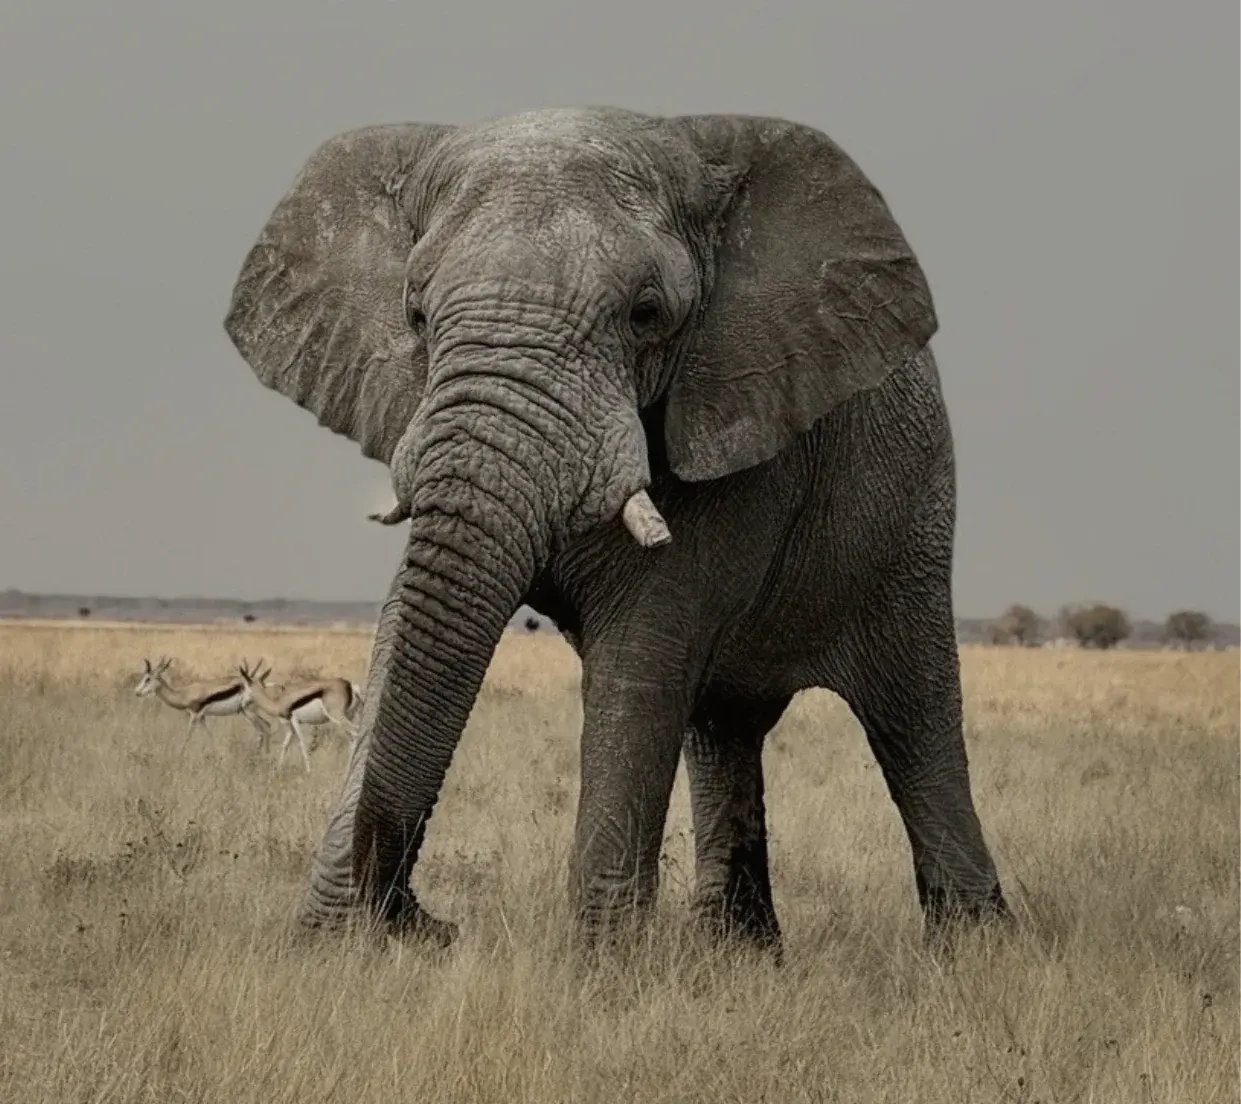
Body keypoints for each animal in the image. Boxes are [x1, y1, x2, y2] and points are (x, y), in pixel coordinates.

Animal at [222, 105, 1011, 955]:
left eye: (645, 314)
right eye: (416, 316)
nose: (424, 917)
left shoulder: (735, 430)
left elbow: (638, 655)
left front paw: (602, 968)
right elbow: (406, 622)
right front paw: (327, 945)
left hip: (913, 519)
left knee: (912, 722)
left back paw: (975, 947)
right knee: (721, 728)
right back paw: (738, 954)